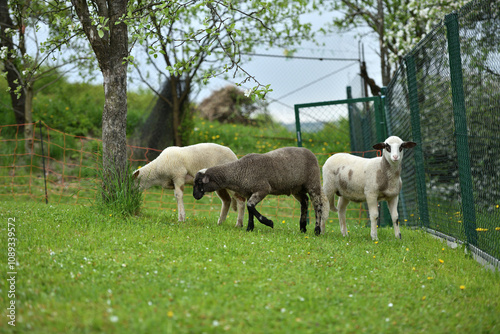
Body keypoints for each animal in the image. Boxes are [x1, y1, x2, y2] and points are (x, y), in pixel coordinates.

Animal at [193, 146, 330, 235]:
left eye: (199, 182)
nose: (195, 196)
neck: (238, 171)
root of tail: (310, 152)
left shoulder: (263, 189)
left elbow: (250, 206)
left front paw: (269, 222)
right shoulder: (250, 192)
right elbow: (250, 209)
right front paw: (250, 228)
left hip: (313, 183)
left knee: (318, 205)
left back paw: (317, 230)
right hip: (296, 188)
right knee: (305, 201)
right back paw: (302, 227)